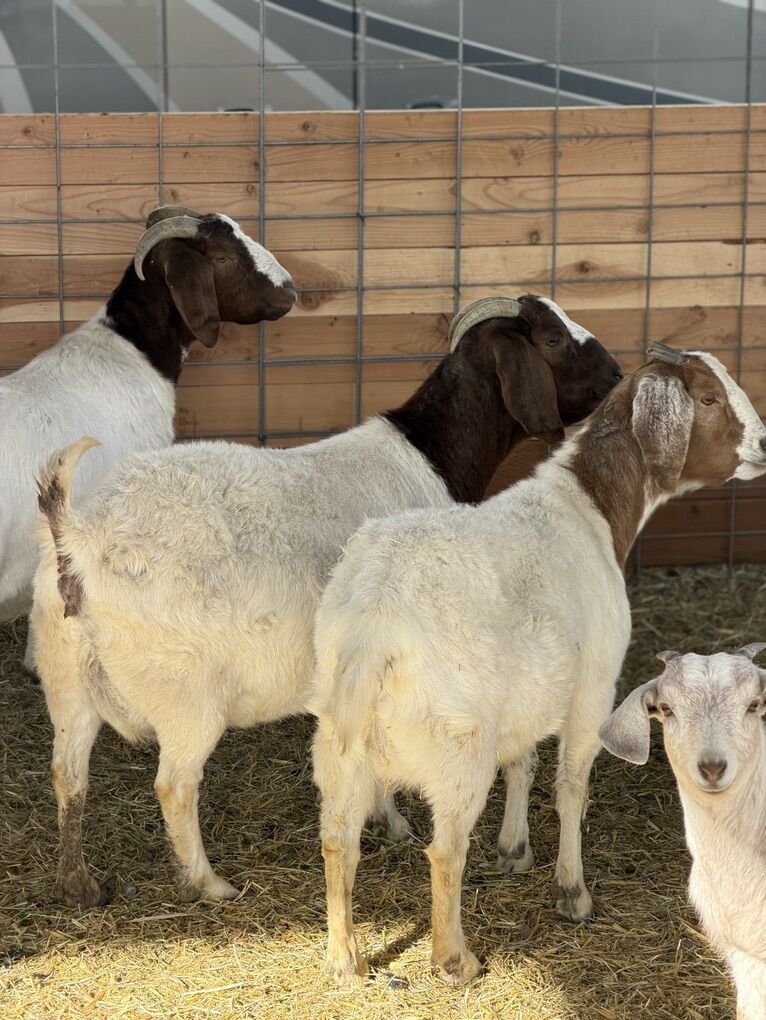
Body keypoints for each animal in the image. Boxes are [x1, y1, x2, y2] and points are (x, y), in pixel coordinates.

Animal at [31, 295, 621, 908]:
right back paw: (209, 883)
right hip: (183, 690)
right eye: (552, 340)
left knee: (67, 773)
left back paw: (79, 883)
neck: (427, 456)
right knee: (174, 784)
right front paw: (392, 820)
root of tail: (79, 537)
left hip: (64, 672)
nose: (615, 373)